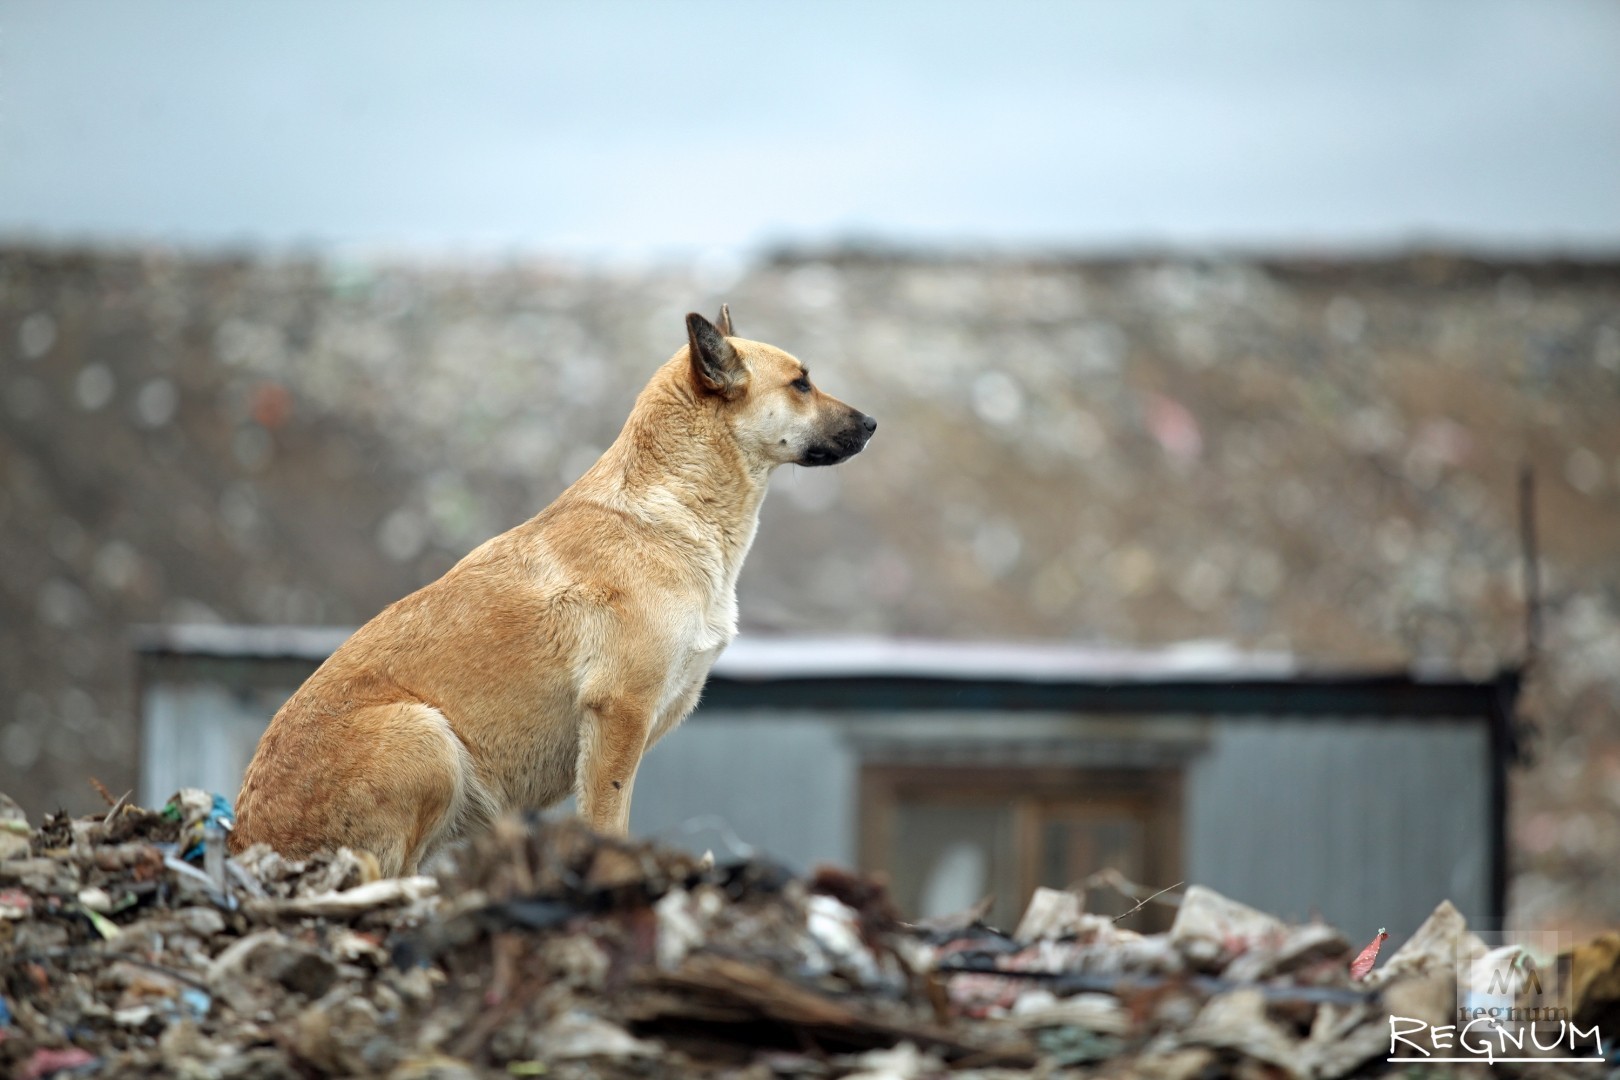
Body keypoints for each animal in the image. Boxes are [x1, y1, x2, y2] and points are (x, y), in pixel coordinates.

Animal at [228, 306, 874, 880]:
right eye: (801, 383)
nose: (871, 425)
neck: (669, 508)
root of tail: (242, 849)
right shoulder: (619, 715)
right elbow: (609, 820)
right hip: (426, 737)